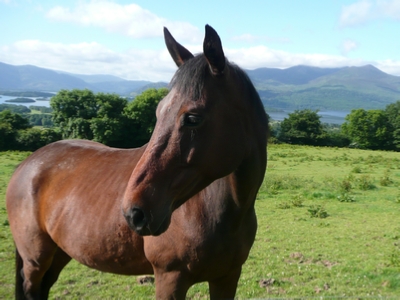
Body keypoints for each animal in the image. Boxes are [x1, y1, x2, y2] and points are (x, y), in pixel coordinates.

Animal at [6, 25, 268, 300]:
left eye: (193, 118)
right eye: (158, 112)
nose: (134, 213)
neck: (218, 211)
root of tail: (27, 164)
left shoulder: (227, 277)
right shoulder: (170, 278)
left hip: (60, 251)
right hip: (36, 259)